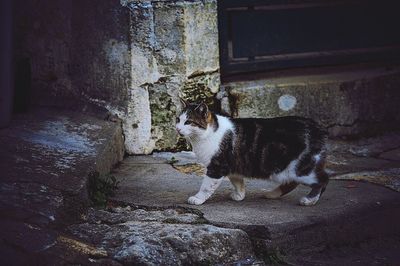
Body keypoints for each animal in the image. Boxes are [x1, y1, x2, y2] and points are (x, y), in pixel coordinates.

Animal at [177, 99, 330, 206]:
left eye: (188, 122)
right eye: (178, 120)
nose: (177, 128)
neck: (206, 134)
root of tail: (317, 128)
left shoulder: (217, 166)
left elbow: (206, 186)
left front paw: (197, 199)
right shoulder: (234, 166)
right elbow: (238, 182)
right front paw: (239, 195)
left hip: (301, 168)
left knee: (322, 179)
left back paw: (309, 200)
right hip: (287, 170)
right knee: (292, 182)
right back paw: (272, 194)